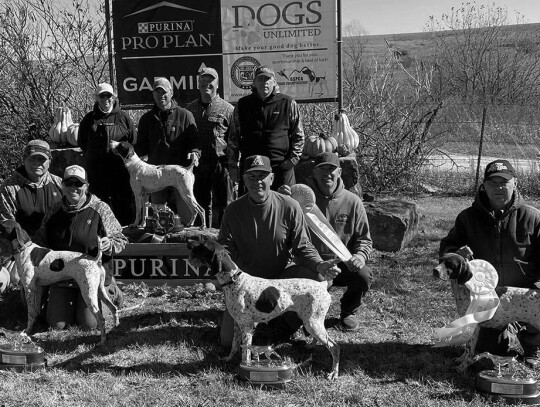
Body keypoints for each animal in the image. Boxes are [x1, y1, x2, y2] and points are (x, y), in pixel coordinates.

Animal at [188, 241, 340, 380]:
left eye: (202, 246)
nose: (189, 244)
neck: (235, 280)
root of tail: (322, 284)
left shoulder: (247, 327)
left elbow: (245, 353)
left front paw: (244, 367)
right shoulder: (237, 324)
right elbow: (234, 345)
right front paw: (228, 359)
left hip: (312, 323)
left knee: (334, 347)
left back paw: (334, 373)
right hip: (311, 321)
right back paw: (311, 346)